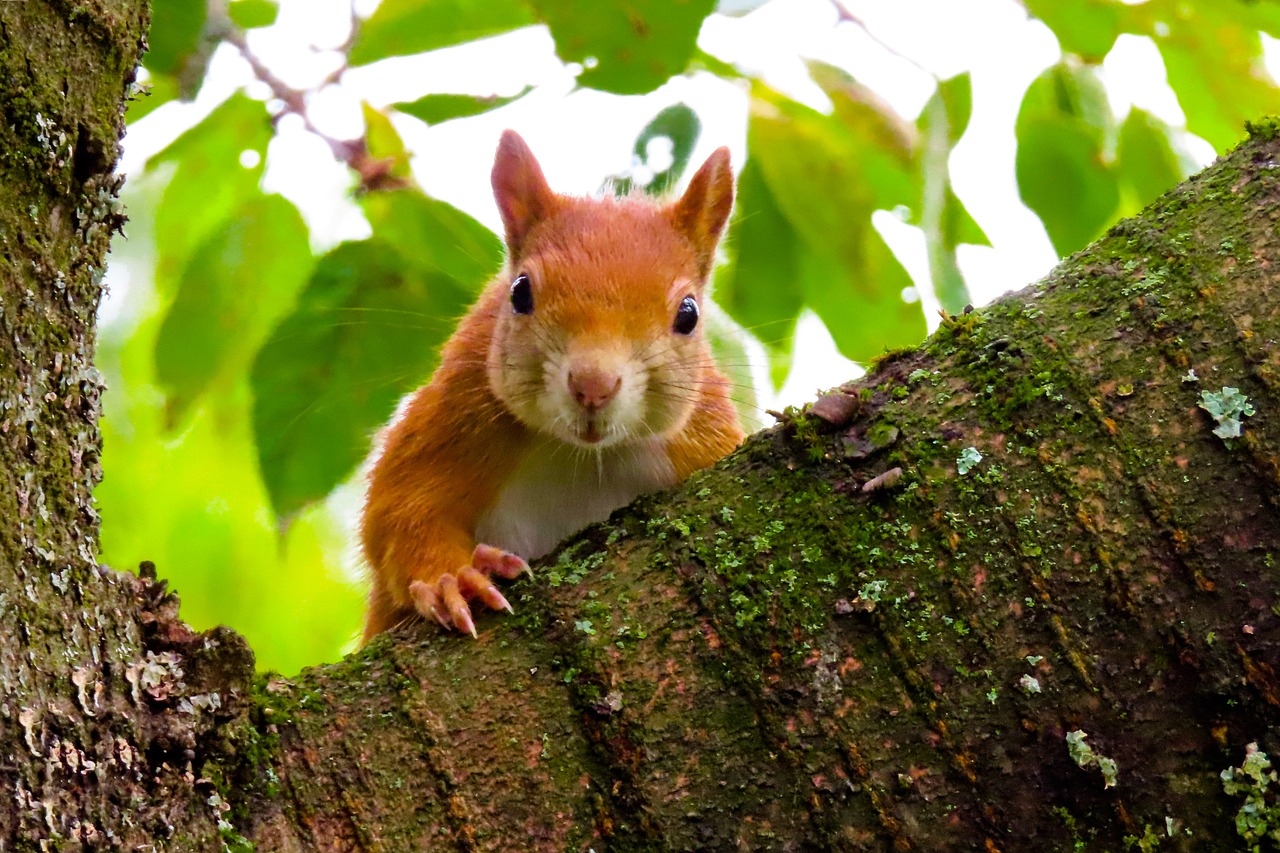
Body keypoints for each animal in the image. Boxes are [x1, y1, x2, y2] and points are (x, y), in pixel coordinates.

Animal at [358, 129, 742, 637]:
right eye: (520, 291)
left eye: (689, 314)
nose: (593, 385)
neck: (583, 457)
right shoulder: (454, 413)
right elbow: (399, 511)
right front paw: (451, 578)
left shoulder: (703, 437)